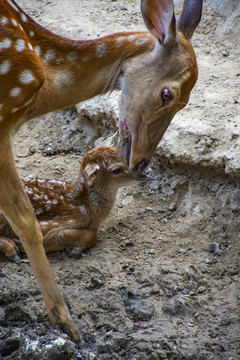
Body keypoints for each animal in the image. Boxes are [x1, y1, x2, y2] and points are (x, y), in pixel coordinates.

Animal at [0, 0, 202, 344]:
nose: (143, 162)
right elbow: (27, 220)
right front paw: (66, 323)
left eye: (187, 102)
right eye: (168, 95)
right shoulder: (2, 120)